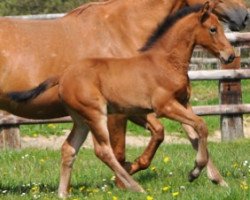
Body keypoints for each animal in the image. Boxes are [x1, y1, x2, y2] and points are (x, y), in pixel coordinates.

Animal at [7, 2, 234, 197]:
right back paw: (136, 187)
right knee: (103, 151)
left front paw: (212, 177)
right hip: (96, 114)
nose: (230, 55)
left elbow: (195, 134)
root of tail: (63, 76)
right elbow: (201, 125)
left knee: (69, 148)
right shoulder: (164, 106)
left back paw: (63, 193)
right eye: (213, 29)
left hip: (81, 119)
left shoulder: (183, 102)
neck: (165, 62)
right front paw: (195, 172)